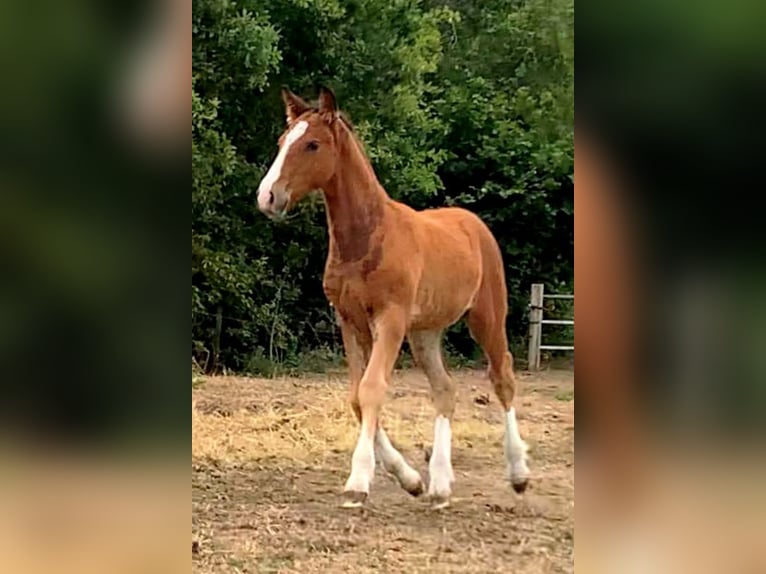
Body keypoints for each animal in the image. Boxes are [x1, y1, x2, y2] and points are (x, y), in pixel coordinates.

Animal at [256, 86, 530, 509]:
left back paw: (518, 473)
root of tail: (472, 223)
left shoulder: (391, 318)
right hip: (425, 333)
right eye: (283, 141)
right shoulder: (349, 320)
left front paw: (358, 480)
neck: (367, 237)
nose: (268, 197)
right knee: (445, 390)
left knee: (503, 378)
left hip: (486, 316)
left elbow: (372, 388)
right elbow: (358, 395)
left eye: (313, 144)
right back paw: (440, 485)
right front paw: (410, 479)